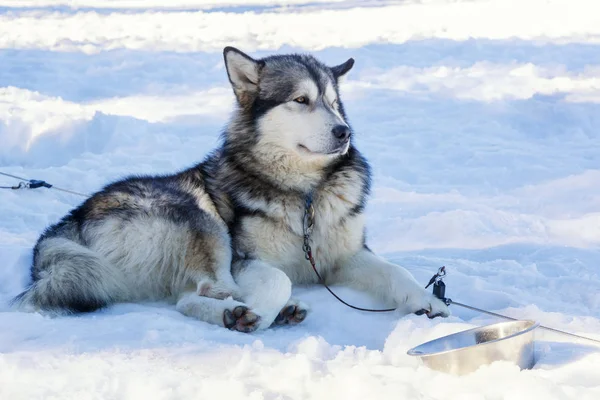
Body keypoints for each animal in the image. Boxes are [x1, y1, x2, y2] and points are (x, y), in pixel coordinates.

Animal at [12, 46, 450, 332]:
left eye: (332, 102)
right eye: (301, 100)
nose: (344, 132)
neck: (306, 198)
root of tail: (67, 222)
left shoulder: (347, 256)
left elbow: (396, 271)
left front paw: (425, 300)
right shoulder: (246, 259)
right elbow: (278, 280)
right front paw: (262, 309)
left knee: (188, 296)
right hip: (200, 223)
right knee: (203, 291)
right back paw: (243, 312)